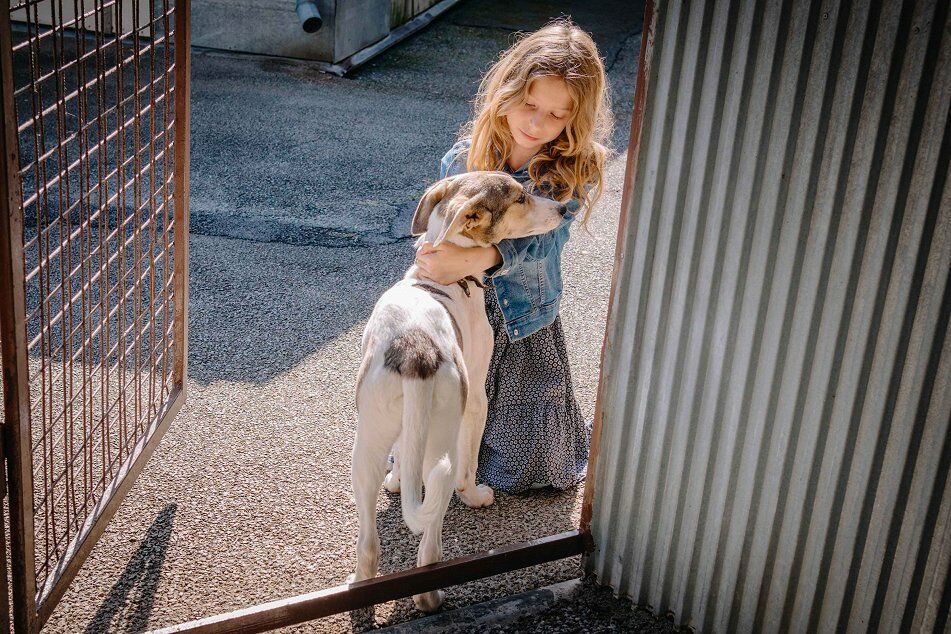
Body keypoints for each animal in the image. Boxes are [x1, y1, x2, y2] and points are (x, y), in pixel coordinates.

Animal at [350, 171, 568, 611]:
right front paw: (475, 495)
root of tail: (416, 350)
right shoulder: (477, 401)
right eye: (520, 198)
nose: (564, 208)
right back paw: (430, 598)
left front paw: (397, 479)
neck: (440, 281)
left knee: (369, 543)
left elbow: (403, 456)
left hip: (365, 448)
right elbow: (470, 460)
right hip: (443, 442)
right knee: (431, 539)